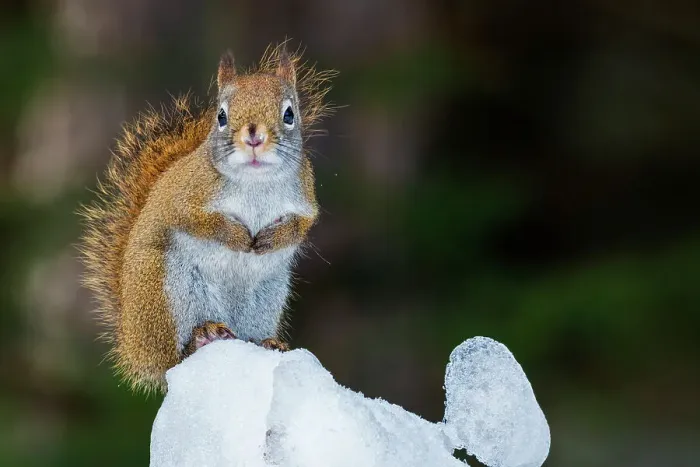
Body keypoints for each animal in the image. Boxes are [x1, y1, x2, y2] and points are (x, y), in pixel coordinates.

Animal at [79, 43, 336, 393]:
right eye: (221, 116)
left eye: (289, 114)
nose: (253, 137)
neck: (255, 180)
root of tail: (134, 347)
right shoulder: (183, 198)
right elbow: (199, 221)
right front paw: (237, 236)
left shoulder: (305, 198)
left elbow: (301, 226)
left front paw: (272, 238)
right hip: (165, 292)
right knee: (174, 358)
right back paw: (200, 338)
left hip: (267, 296)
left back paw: (267, 342)